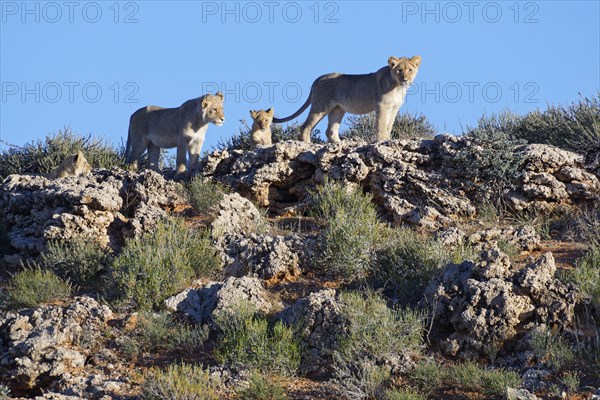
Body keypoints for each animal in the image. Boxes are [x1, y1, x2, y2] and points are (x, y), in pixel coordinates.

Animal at [274, 55, 422, 143]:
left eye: (410, 70)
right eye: (399, 70)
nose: (405, 79)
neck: (398, 87)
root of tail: (318, 79)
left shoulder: (394, 108)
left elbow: (389, 125)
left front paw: (387, 139)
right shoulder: (381, 105)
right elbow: (381, 124)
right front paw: (381, 140)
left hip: (338, 109)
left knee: (330, 131)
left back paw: (339, 144)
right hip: (320, 106)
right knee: (305, 127)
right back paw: (308, 144)